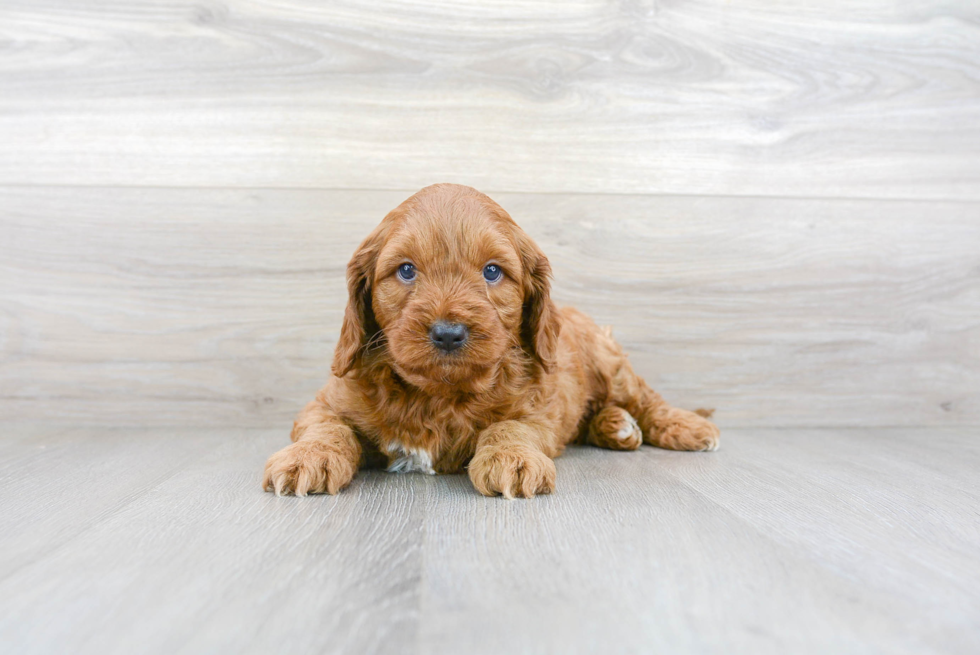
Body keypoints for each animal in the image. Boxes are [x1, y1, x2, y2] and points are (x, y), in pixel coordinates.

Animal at [264, 182, 716, 500]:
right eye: (406, 270)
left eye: (492, 272)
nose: (448, 332)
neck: (438, 395)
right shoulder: (325, 402)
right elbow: (326, 427)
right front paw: (308, 457)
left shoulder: (537, 409)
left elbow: (509, 426)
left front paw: (512, 459)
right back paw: (616, 426)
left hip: (611, 362)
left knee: (646, 399)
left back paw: (686, 426)